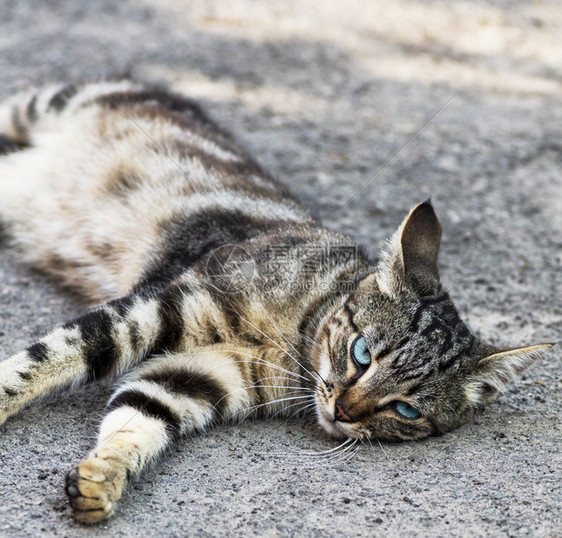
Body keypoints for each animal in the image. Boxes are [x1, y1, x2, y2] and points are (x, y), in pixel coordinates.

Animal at [0, 81, 552, 520]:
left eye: (407, 410)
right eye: (362, 354)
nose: (344, 411)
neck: (295, 345)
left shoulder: (193, 376)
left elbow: (136, 421)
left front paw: (102, 480)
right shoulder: (158, 307)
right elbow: (42, 361)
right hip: (40, 107)